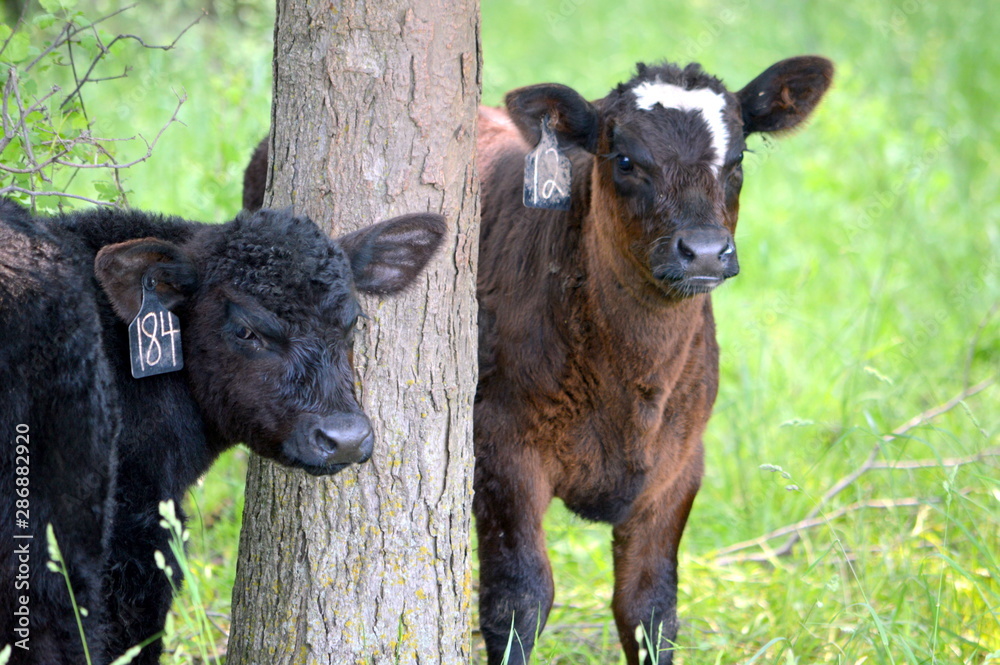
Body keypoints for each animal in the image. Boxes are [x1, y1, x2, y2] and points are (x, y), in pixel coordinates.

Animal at [473, 56, 833, 664]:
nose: (705, 252)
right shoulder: (500, 449)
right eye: (625, 160)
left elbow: (649, 608)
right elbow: (518, 600)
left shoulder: (680, 462)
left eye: (737, 159)